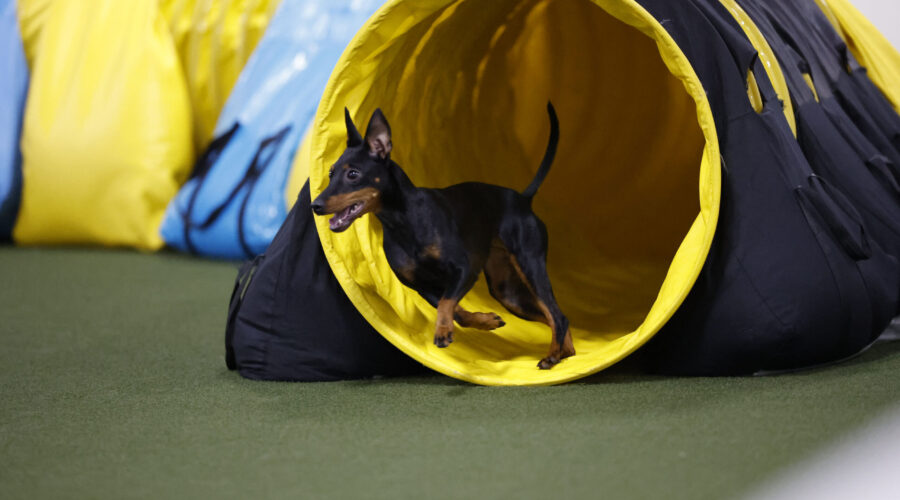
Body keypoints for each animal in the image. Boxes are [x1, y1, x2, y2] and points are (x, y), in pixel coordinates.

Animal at [312, 102, 572, 368]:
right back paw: (566, 352)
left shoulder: (465, 270)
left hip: (530, 267)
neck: (403, 221)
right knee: (554, 316)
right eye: (331, 173)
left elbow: (448, 303)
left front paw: (444, 331)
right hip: (507, 292)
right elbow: (455, 311)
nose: (315, 205)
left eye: (353, 174)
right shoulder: (422, 287)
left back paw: (552, 355)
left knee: (557, 314)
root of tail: (523, 199)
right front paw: (483, 321)